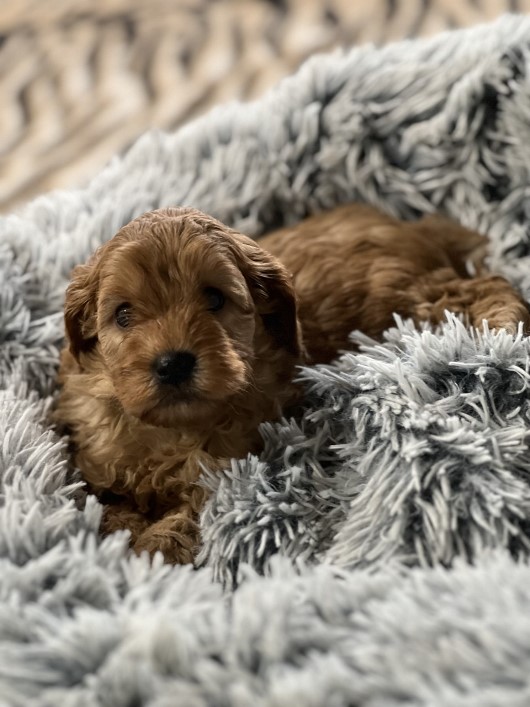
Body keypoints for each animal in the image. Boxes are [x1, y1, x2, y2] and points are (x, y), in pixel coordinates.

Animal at [54, 203, 528, 564]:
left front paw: (152, 550)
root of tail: (413, 228)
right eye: (123, 315)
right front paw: (123, 538)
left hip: (409, 297)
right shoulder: (98, 463)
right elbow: (107, 507)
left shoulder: (228, 471)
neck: (172, 430)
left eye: (214, 299)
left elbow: (188, 514)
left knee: (482, 286)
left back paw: (500, 333)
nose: (172, 364)